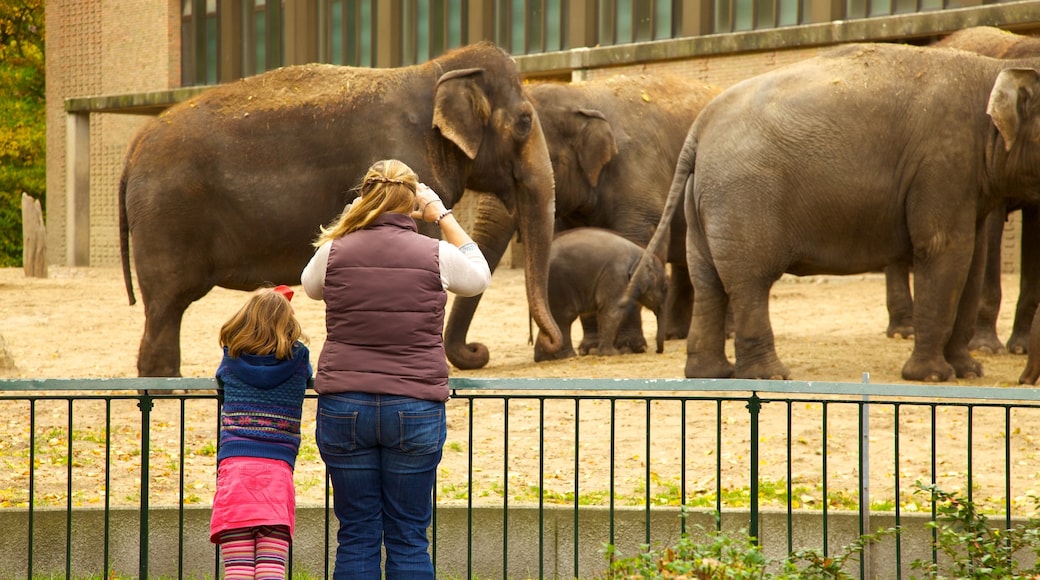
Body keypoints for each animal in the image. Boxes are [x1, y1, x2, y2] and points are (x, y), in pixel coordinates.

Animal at [118, 41, 565, 378]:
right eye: (525, 122)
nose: (548, 343)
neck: (432, 71)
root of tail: (134, 147)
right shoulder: (405, 156)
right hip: (167, 218)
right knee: (166, 305)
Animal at [532, 228, 669, 361]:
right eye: (665, 289)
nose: (658, 351)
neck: (642, 253)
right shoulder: (616, 276)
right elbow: (613, 310)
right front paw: (612, 353)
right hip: (559, 283)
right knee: (565, 316)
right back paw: (567, 356)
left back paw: (543, 358)